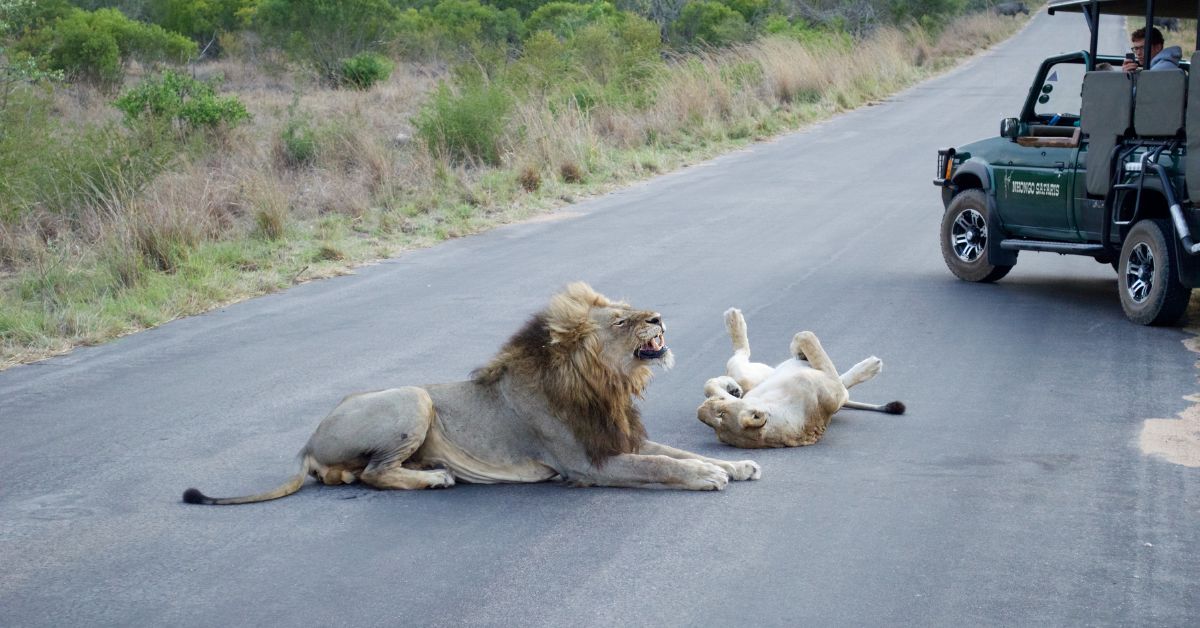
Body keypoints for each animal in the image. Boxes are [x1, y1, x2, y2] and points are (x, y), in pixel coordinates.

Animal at [183, 283, 761, 505]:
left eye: (628, 306)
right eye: (620, 319)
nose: (658, 316)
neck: (604, 386)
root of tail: (307, 441)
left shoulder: (619, 439)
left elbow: (674, 451)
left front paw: (735, 466)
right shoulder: (586, 464)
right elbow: (661, 465)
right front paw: (707, 476)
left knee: (356, 474)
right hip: (413, 397)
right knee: (373, 474)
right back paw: (434, 477)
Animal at [696, 308, 904, 448]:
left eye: (720, 410)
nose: (702, 409)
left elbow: (709, 385)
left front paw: (729, 388)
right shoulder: (831, 389)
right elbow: (806, 337)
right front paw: (801, 348)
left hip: (754, 379)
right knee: (741, 353)